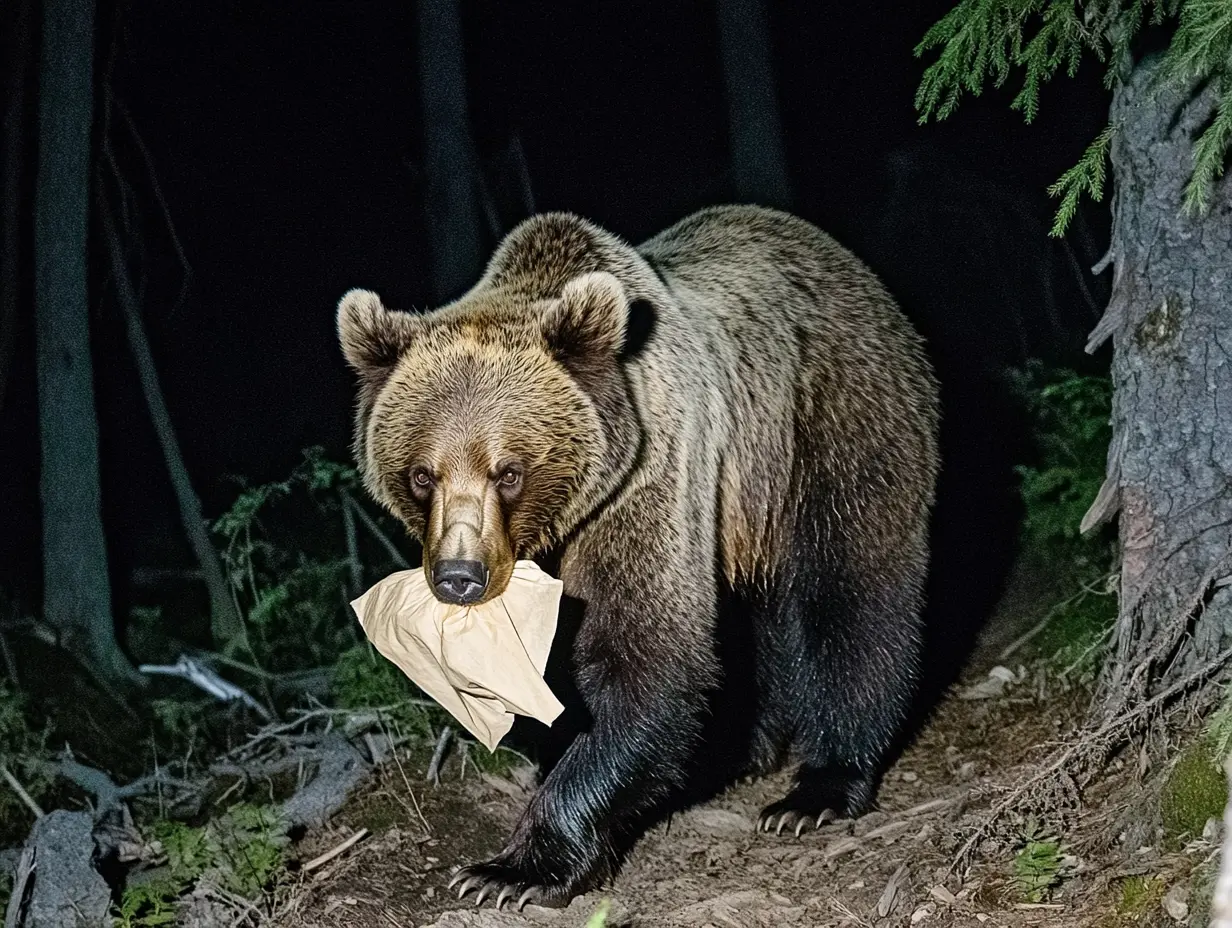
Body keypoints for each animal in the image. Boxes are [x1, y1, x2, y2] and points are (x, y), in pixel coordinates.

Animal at [336, 204, 941, 910]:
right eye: (421, 476)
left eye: (508, 472)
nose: (460, 577)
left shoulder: (645, 481)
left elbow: (644, 662)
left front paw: (509, 870)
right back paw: (741, 750)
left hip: (828, 423)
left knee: (852, 591)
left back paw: (818, 788)